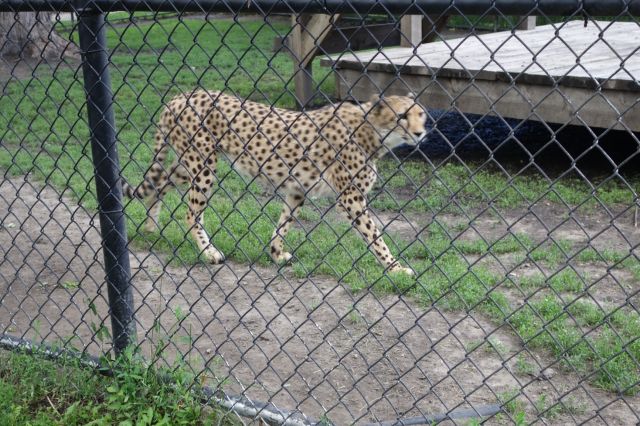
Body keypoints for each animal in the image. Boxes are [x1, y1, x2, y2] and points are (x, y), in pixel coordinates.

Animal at [122, 91, 428, 274]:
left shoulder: (297, 189)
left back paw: (150, 224)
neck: (371, 131)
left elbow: (284, 223)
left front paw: (276, 253)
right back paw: (209, 252)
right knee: (190, 212)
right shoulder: (350, 197)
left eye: (421, 114)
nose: (421, 133)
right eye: (402, 116)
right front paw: (395, 268)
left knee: (162, 179)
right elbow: (374, 235)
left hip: (193, 163)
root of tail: (181, 96)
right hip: (203, 165)